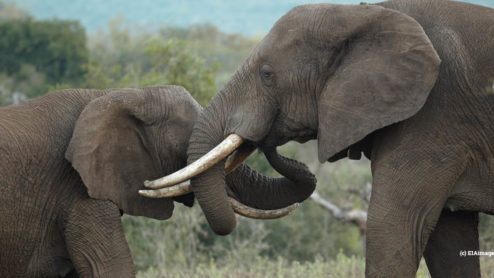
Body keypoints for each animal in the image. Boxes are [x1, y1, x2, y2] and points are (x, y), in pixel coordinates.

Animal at [145, 1, 494, 276]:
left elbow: (392, 226)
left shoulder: (432, 117)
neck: (365, 13)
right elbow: (449, 237)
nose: (267, 139)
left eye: (267, 75)